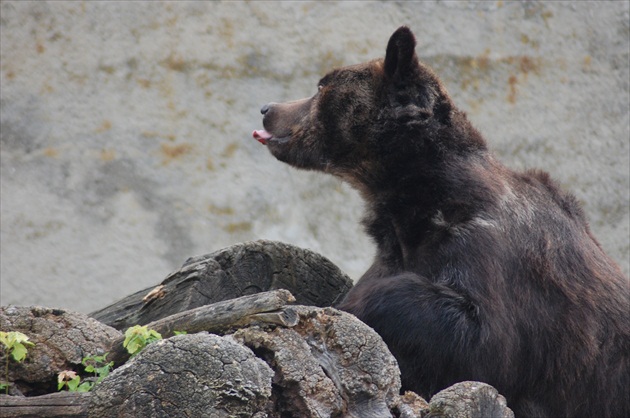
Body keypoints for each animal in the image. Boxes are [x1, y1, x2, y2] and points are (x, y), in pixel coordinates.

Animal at [253, 27, 630, 418]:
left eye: (321, 85)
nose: (268, 109)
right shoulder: (398, 246)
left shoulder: (489, 252)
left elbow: (481, 340)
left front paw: (351, 306)